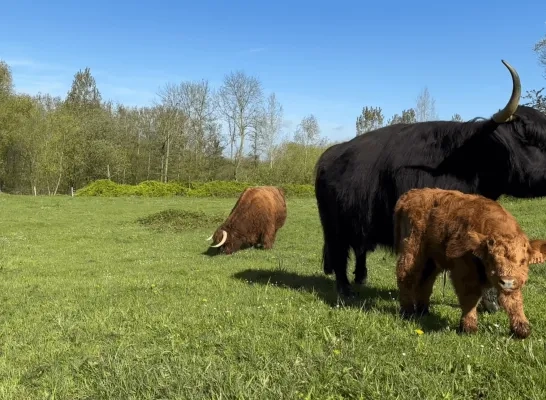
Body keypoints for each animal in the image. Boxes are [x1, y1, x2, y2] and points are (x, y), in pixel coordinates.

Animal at [312, 59, 544, 304]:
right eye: (531, 139)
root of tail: (331, 154)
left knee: (359, 248)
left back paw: (361, 278)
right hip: (334, 225)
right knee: (339, 254)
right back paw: (345, 291)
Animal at [392, 188, 540, 338]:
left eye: (523, 261)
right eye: (492, 259)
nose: (507, 281)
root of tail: (411, 194)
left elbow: (514, 300)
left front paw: (521, 328)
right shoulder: (463, 270)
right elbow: (470, 297)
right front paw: (469, 327)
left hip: (431, 259)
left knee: (425, 281)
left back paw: (423, 311)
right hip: (412, 250)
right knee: (406, 276)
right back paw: (408, 311)